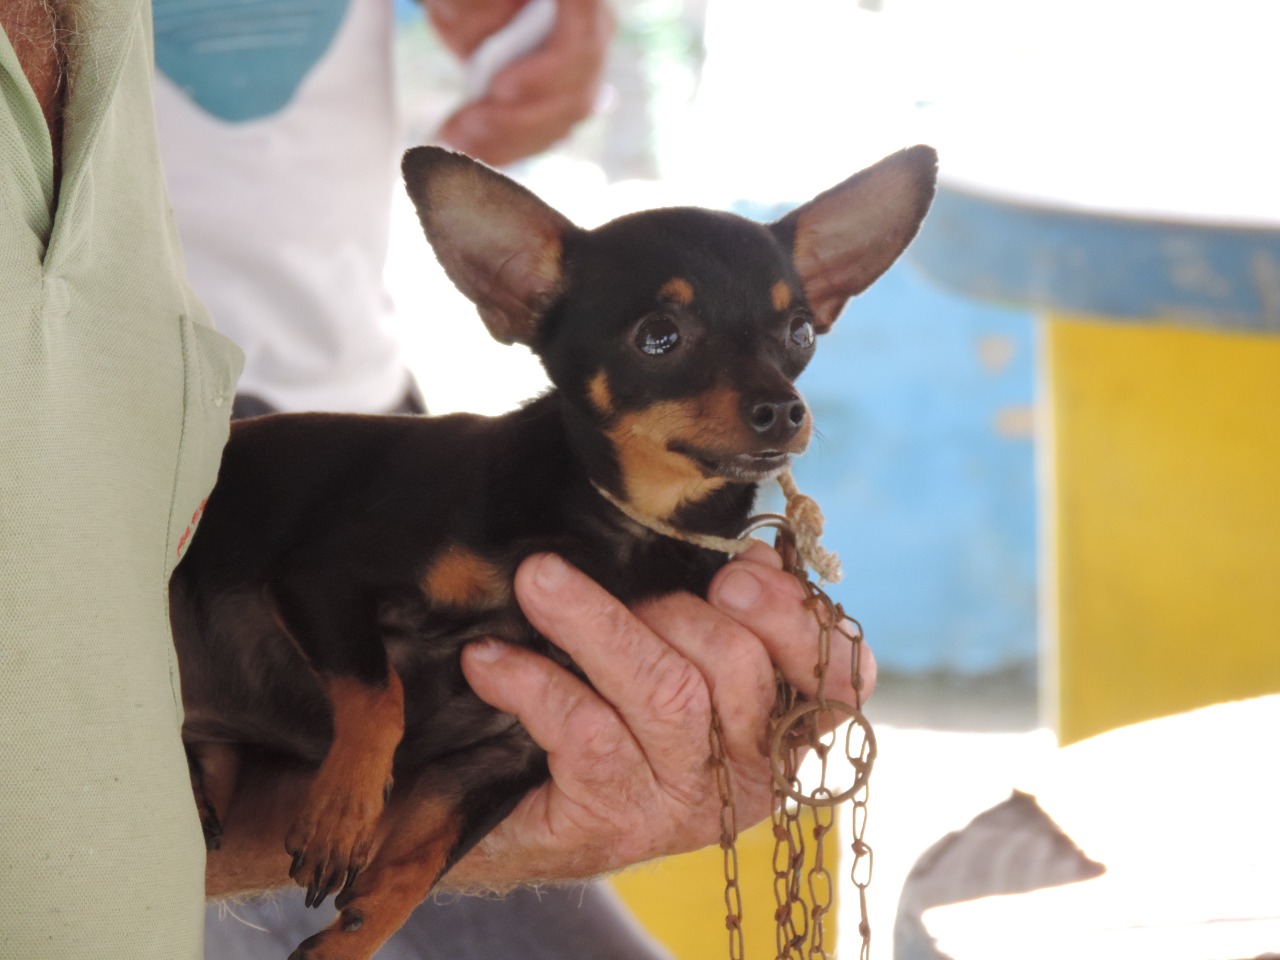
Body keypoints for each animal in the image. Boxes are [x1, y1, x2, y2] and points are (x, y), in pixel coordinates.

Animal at [170, 144, 936, 960]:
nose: (784, 411)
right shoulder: (321, 580)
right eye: (658, 335)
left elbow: (411, 873)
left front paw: (344, 937)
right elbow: (381, 695)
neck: (614, 526)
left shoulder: (506, 755)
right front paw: (343, 809)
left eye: (799, 334)